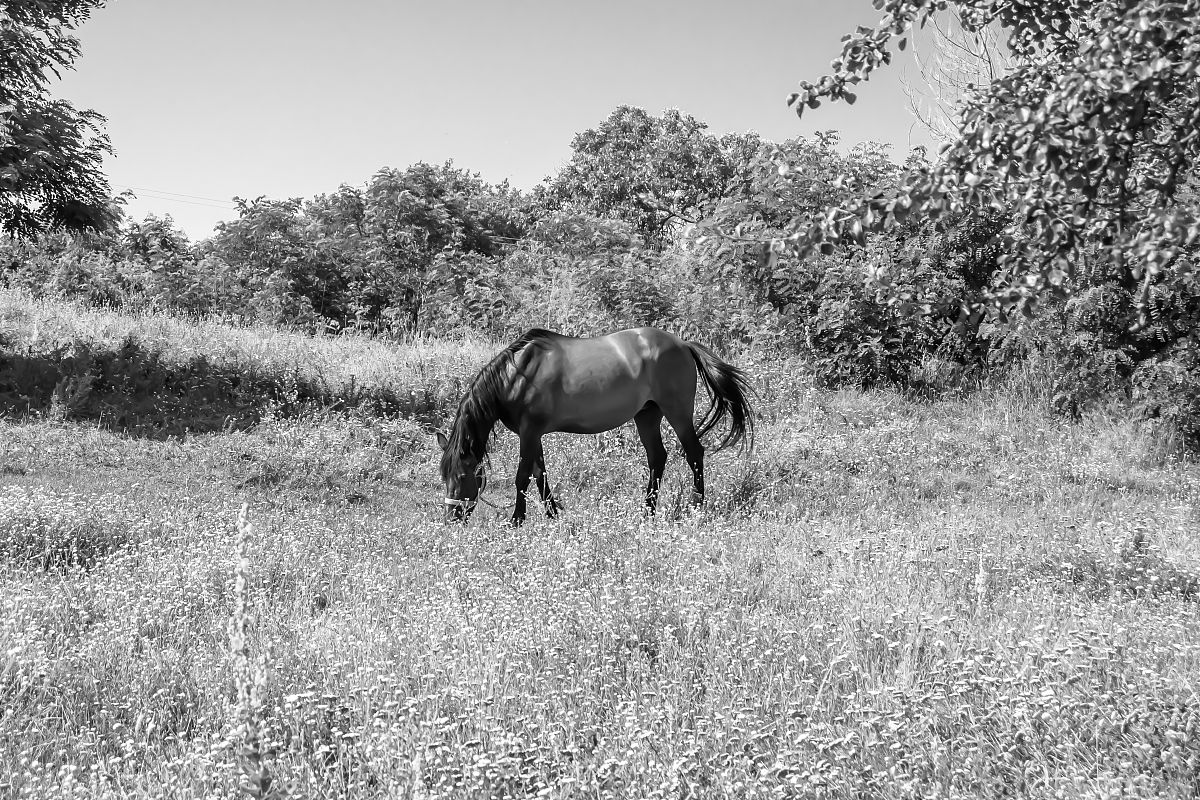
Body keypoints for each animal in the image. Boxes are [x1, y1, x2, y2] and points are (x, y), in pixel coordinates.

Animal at [436, 326, 754, 525]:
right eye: (444, 476)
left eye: (462, 475)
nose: (451, 519)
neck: (518, 375)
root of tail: (683, 345)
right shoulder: (534, 434)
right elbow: (540, 475)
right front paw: (553, 514)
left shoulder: (529, 431)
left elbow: (522, 478)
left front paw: (517, 520)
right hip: (647, 415)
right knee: (657, 458)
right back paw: (647, 511)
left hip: (677, 412)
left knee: (694, 454)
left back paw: (696, 505)